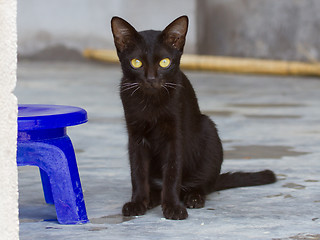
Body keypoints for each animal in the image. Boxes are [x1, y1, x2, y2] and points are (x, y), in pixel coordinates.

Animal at [110, 15, 276, 220]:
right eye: (136, 63)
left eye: (164, 62)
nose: (151, 79)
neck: (152, 103)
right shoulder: (135, 136)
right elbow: (138, 172)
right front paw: (138, 202)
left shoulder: (175, 136)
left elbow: (172, 172)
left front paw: (173, 207)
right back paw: (153, 198)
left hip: (208, 130)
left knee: (203, 185)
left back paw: (193, 197)